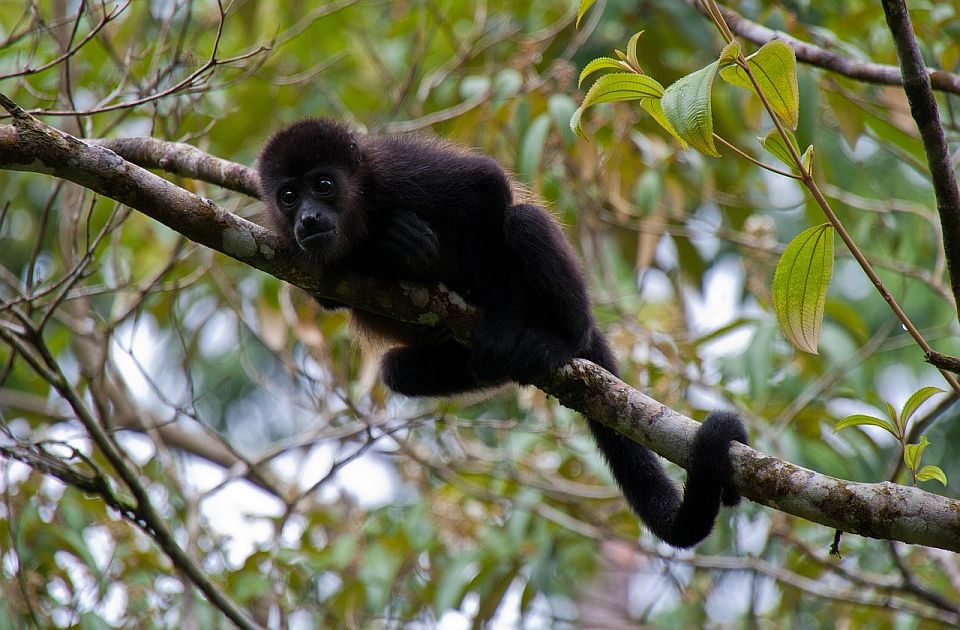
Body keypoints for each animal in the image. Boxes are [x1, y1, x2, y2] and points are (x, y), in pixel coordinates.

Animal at [256, 118, 752, 548]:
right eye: (288, 196)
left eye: (323, 185)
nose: (307, 218)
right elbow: (328, 294)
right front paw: (389, 247)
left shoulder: (396, 171)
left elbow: (486, 187)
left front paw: (494, 319)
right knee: (398, 372)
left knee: (523, 222)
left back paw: (560, 339)